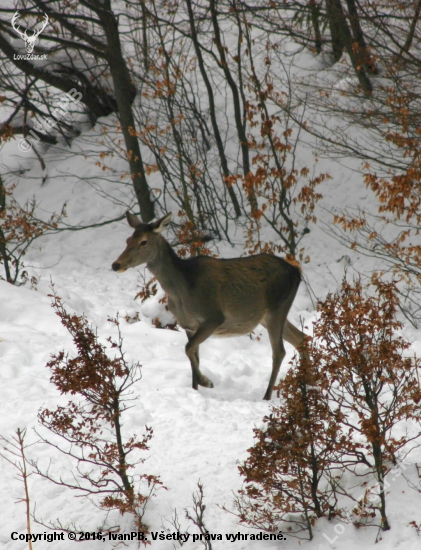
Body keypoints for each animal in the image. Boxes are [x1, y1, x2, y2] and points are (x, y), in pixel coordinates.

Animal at [111, 212, 308, 402]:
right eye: (128, 240)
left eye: (143, 242)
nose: (116, 264)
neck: (182, 290)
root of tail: (296, 271)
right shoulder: (188, 325)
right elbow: (193, 356)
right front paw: (195, 389)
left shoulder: (214, 317)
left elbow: (188, 348)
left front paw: (206, 381)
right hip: (267, 316)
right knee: (301, 338)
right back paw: (305, 385)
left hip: (277, 307)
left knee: (279, 351)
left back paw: (268, 396)